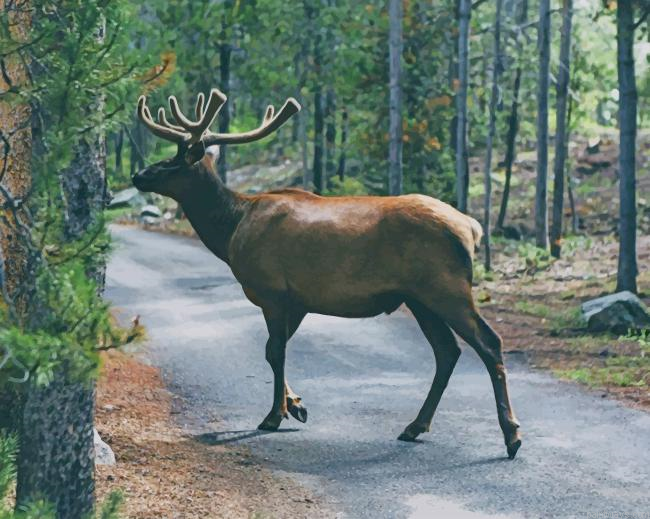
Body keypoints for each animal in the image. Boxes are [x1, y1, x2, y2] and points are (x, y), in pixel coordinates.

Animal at [132, 88, 522, 459]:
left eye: (175, 160)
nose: (138, 175)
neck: (231, 230)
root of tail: (471, 228)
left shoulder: (272, 291)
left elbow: (275, 351)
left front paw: (274, 415)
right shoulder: (298, 300)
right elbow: (274, 349)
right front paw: (296, 405)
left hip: (446, 288)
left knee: (489, 343)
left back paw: (511, 435)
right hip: (419, 298)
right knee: (447, 352)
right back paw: (415, 426)